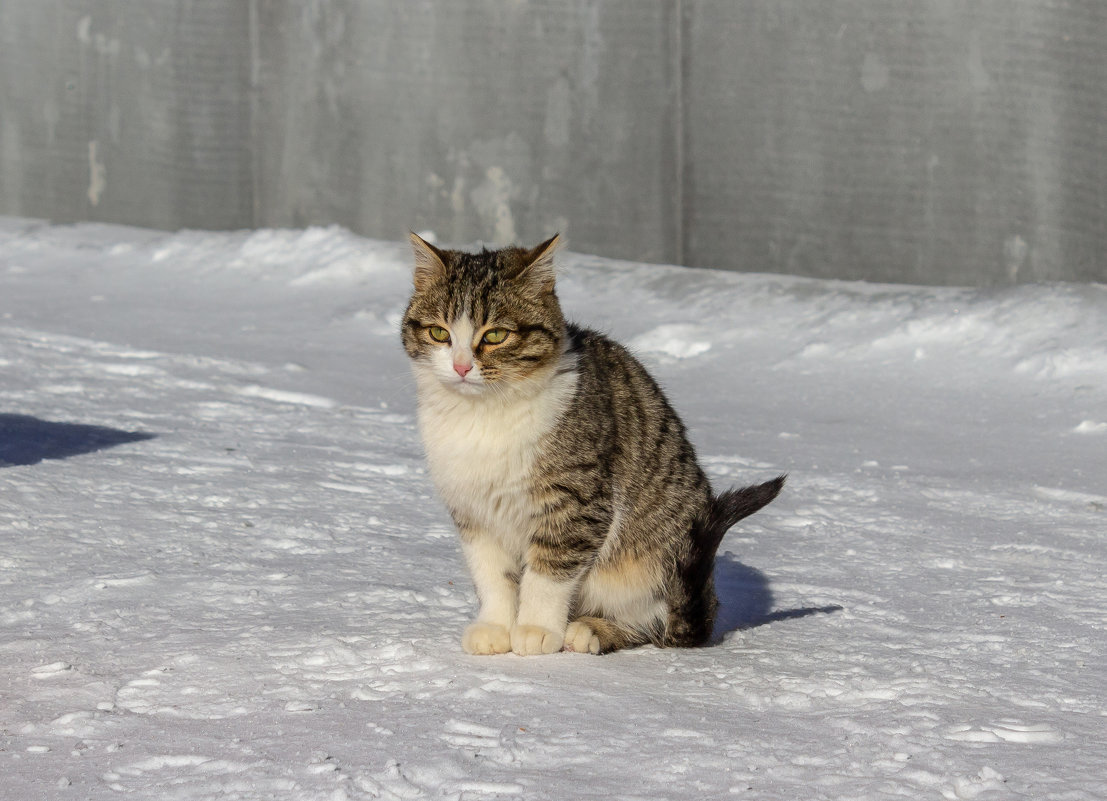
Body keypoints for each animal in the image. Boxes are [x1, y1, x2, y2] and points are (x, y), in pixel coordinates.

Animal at [402, 233, 783, 654]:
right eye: (439, 333)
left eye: (496, 335)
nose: (461, 366)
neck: (484, 415)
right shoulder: (473, 507)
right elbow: (492, 573)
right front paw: (496, 627)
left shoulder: (578, 501)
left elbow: (548, 570)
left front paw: (535, 628)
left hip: (657, 559)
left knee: (654, 625)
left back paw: (591, 629)